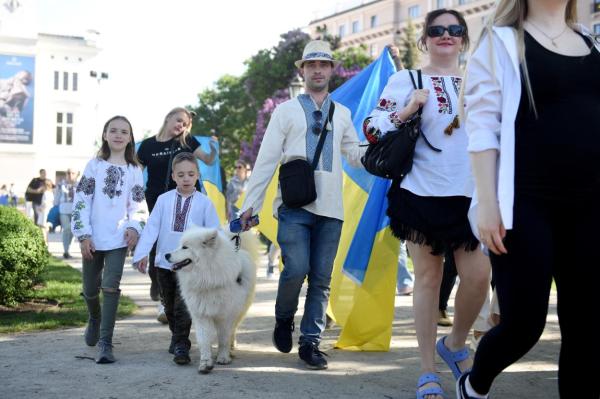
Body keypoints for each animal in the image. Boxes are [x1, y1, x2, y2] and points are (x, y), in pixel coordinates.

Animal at [166, 228, 258, 376]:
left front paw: (223, 357)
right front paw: (205, 363)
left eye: (185, 247)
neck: (207, 278)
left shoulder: (225, 315)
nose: (166, 255)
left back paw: (231, 349)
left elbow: (224, 338)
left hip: (240, 311)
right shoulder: (200, 314)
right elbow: (204, 340)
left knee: (233, 330)